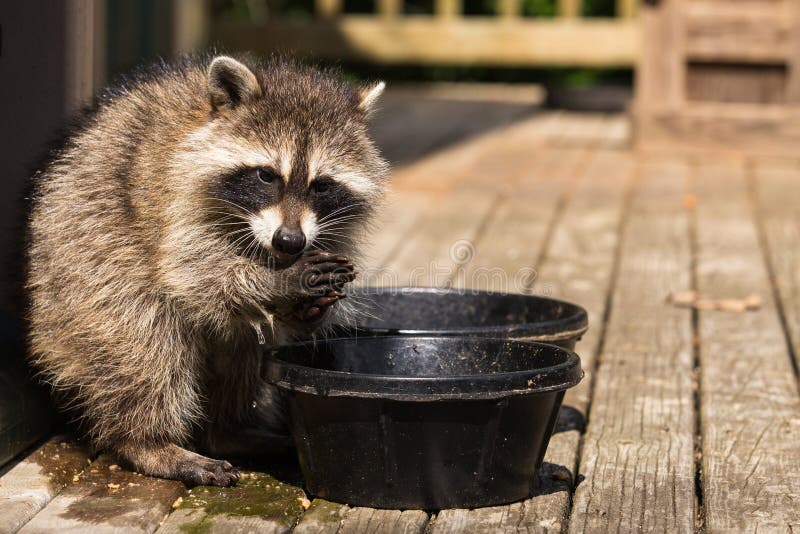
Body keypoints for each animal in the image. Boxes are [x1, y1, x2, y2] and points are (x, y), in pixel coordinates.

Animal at [25, 56, 388, 488]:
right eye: (267, 175)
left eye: (322, 186)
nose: (289, 241)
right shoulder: (174, 198)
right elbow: (194, 273)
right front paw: (278, 283)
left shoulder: (330, 229)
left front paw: (308, 311)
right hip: (86, 259)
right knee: (143, 343)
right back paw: (147, 442)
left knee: (243, 342)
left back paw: (229, 431)